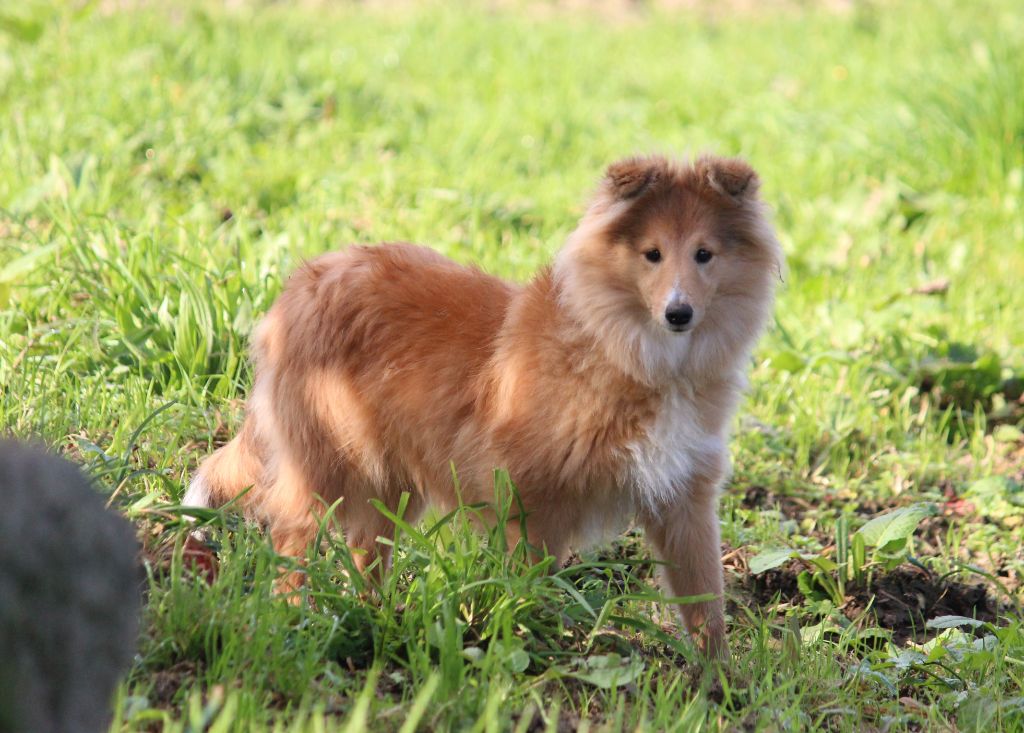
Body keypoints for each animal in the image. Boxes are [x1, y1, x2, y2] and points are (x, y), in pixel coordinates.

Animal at [188, 155, 782, 659]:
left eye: (704, 254)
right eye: (652, 254)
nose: (679, 313)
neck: (626, 350)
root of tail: (297, 287)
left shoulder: (685, 500)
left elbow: (705, 602)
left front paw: (720, 680)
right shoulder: (533, 503)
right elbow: (530, 590)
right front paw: (531, 645)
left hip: (391, 480)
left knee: (365, 550)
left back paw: (373, 615)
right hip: (322, 465)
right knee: (292, 540)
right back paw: (295, 613)